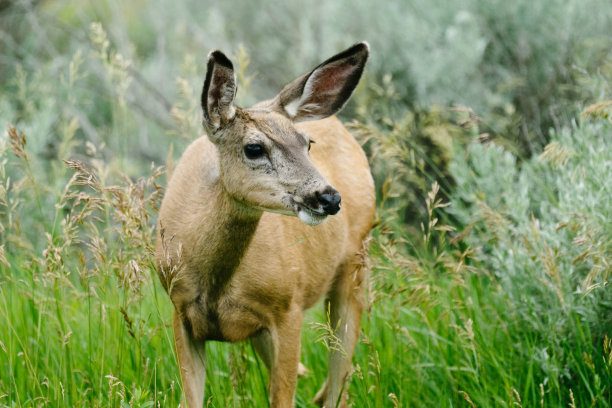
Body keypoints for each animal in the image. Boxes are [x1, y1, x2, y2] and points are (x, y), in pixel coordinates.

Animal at [155, 42, 376, 408]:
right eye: (254, 148)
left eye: (307, 144)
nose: (329, 197)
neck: (217, 282)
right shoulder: (180, 310)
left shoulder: (288, 307)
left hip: (355, 265)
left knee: (338, 382)